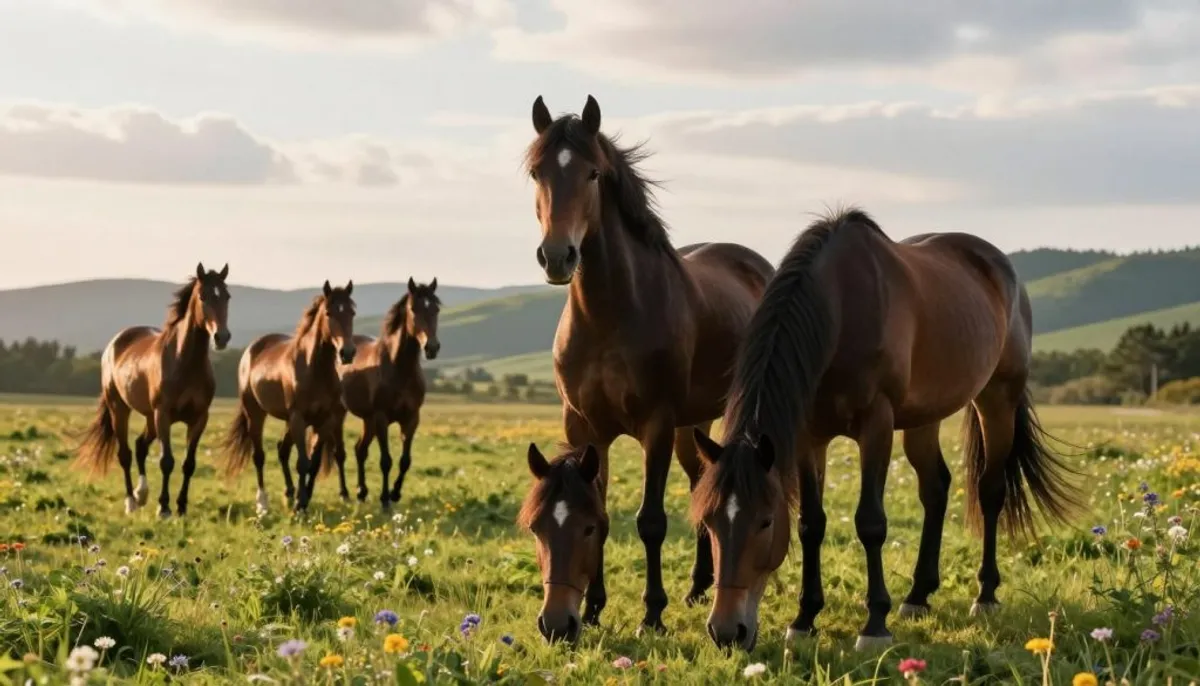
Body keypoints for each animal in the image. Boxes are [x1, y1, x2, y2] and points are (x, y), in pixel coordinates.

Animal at [75, 263, 232, 518]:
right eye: (203, 296)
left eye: (227, 296)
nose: (222, 337)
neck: (185, 362)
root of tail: (114, 344)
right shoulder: (164, 415)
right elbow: (166, 461)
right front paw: (164, 508)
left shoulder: (199, 418)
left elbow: (189, 464)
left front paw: (181, 507)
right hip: (121, 409)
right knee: (125, 454)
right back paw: (131, 502)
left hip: (150, 417)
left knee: (140, 446)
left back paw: (141, 494)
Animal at [222, 280, 357, 513]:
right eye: (329, 313)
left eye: (352, 312)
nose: (347, 353)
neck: (314, 369)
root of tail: (251, 350)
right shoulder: (298, 418)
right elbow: (302, 462)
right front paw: (300, 505)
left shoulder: (325, 420)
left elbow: (314, 463)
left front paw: (303, 500)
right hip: (256, 414)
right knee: (259, 456)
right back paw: (263, 503)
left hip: (288, 421)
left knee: (282, 450)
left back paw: (289, 492)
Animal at [286, 278, 441, 508]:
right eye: (414, 309)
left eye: (436, 309)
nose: (432, 347)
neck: (398, 368)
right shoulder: (382, 417)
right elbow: (386, 460)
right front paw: (385, 499)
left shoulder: (412, 418)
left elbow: (405, 461)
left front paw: (395, 493)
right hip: (340, 415)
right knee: (339, 453)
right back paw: (343, 493)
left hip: (368, 420)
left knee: (359, 450)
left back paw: (361, 491)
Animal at [520, 94, 776, 642]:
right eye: (536, 172)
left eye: (593, 173)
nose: (557, 256)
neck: (610, 314)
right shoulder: (585, 427)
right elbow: (599, 506)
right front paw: (595, 607)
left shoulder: (655, 426)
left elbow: (650, 520)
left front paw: (652, 614)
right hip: (691, 426)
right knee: (702, 479)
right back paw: (700, 585)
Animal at [688, 207, 1082, 652]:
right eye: (708, 522)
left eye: (766, 522)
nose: (726, 631)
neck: (840, 310)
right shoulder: (810, 436)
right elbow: (811, 524)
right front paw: (805, 618)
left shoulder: (877, 426)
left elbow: (871, 523)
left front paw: (875, 623)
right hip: (926, 417)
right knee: (935, 489)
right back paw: (918, 595)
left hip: (997, 399)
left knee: (990, 491)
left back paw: (985, 595)